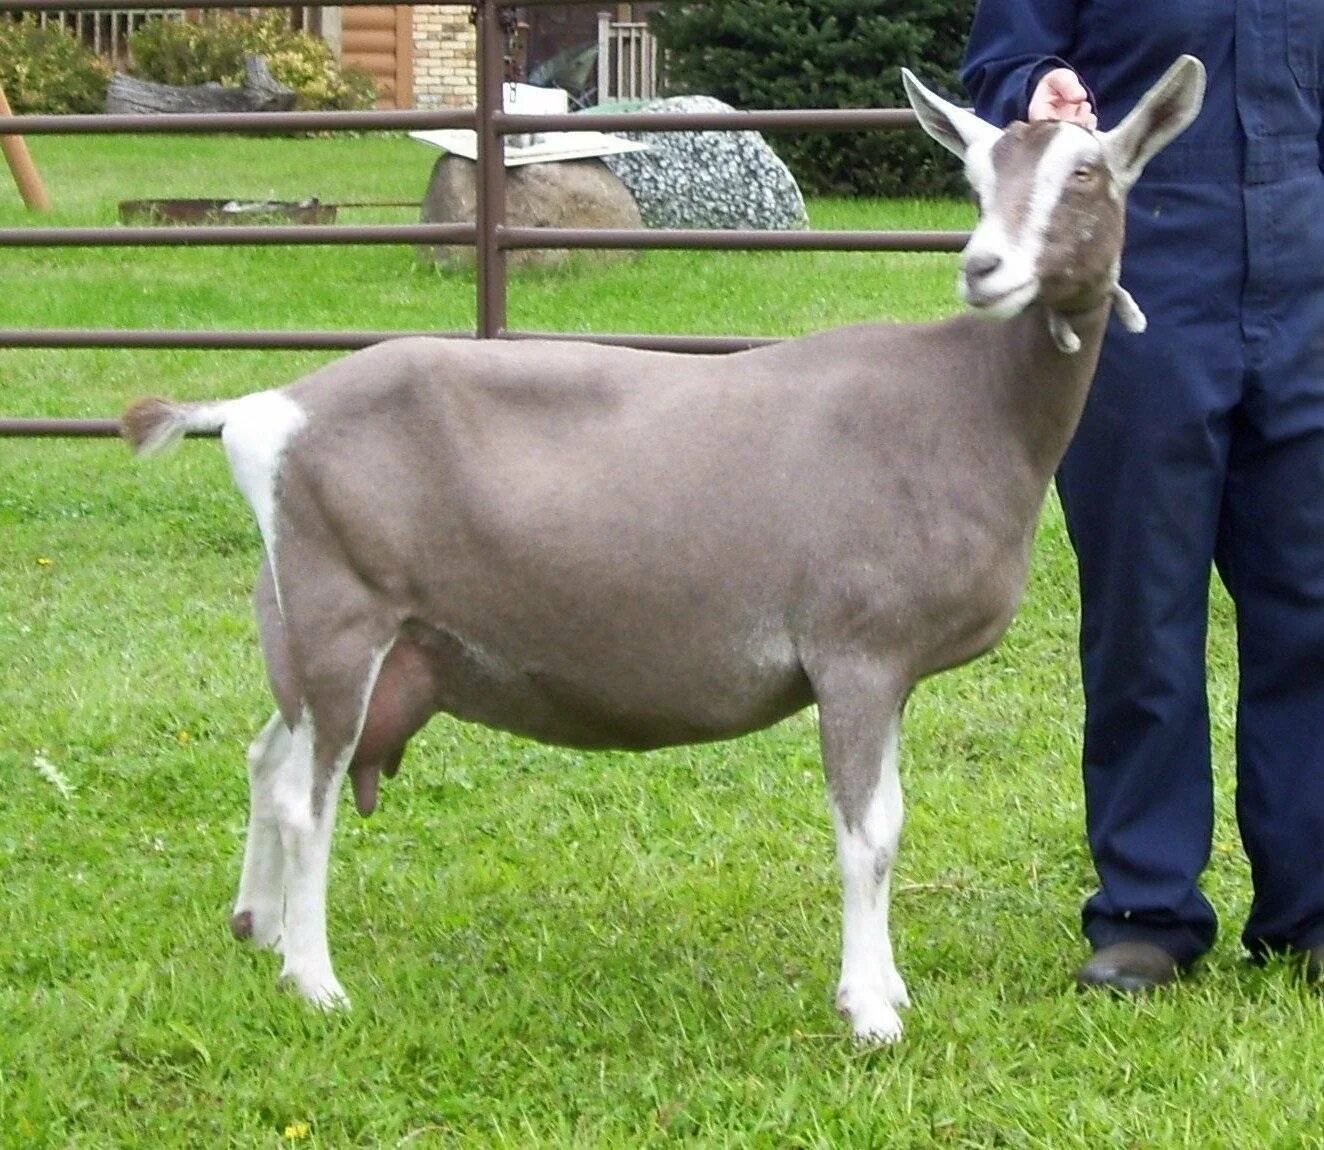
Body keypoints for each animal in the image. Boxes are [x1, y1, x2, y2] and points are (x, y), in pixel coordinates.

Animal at [124, 56, 1212, 1042]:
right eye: (976, 180)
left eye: (1087, 174)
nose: (984, 268)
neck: (968, 400)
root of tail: (261, 411)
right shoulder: (855, 651)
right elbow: (870, 833)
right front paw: (869, 1011)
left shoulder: (891, 670)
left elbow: (890, 820)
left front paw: (888, 991)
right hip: (342, 611)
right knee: (304, 797)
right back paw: (316, 984)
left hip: (309, 627)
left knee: (268, 755)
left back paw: (259, 928)